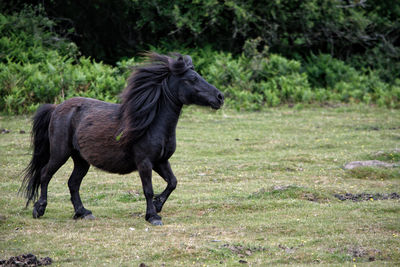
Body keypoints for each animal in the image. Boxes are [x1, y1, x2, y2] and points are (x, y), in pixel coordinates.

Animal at [21, 52, 222, 226]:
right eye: (192, 79)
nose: (220, 97)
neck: (152, 124)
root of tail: (56, 108)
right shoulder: (145, 162)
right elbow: (148, 190)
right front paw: (153, 216)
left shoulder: (161, 161)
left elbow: (172, 182)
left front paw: (158, 205)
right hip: (60, 153)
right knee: (45, 174)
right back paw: (39, 209)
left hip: (81, 160)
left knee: (73, 183)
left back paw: (83, 212)